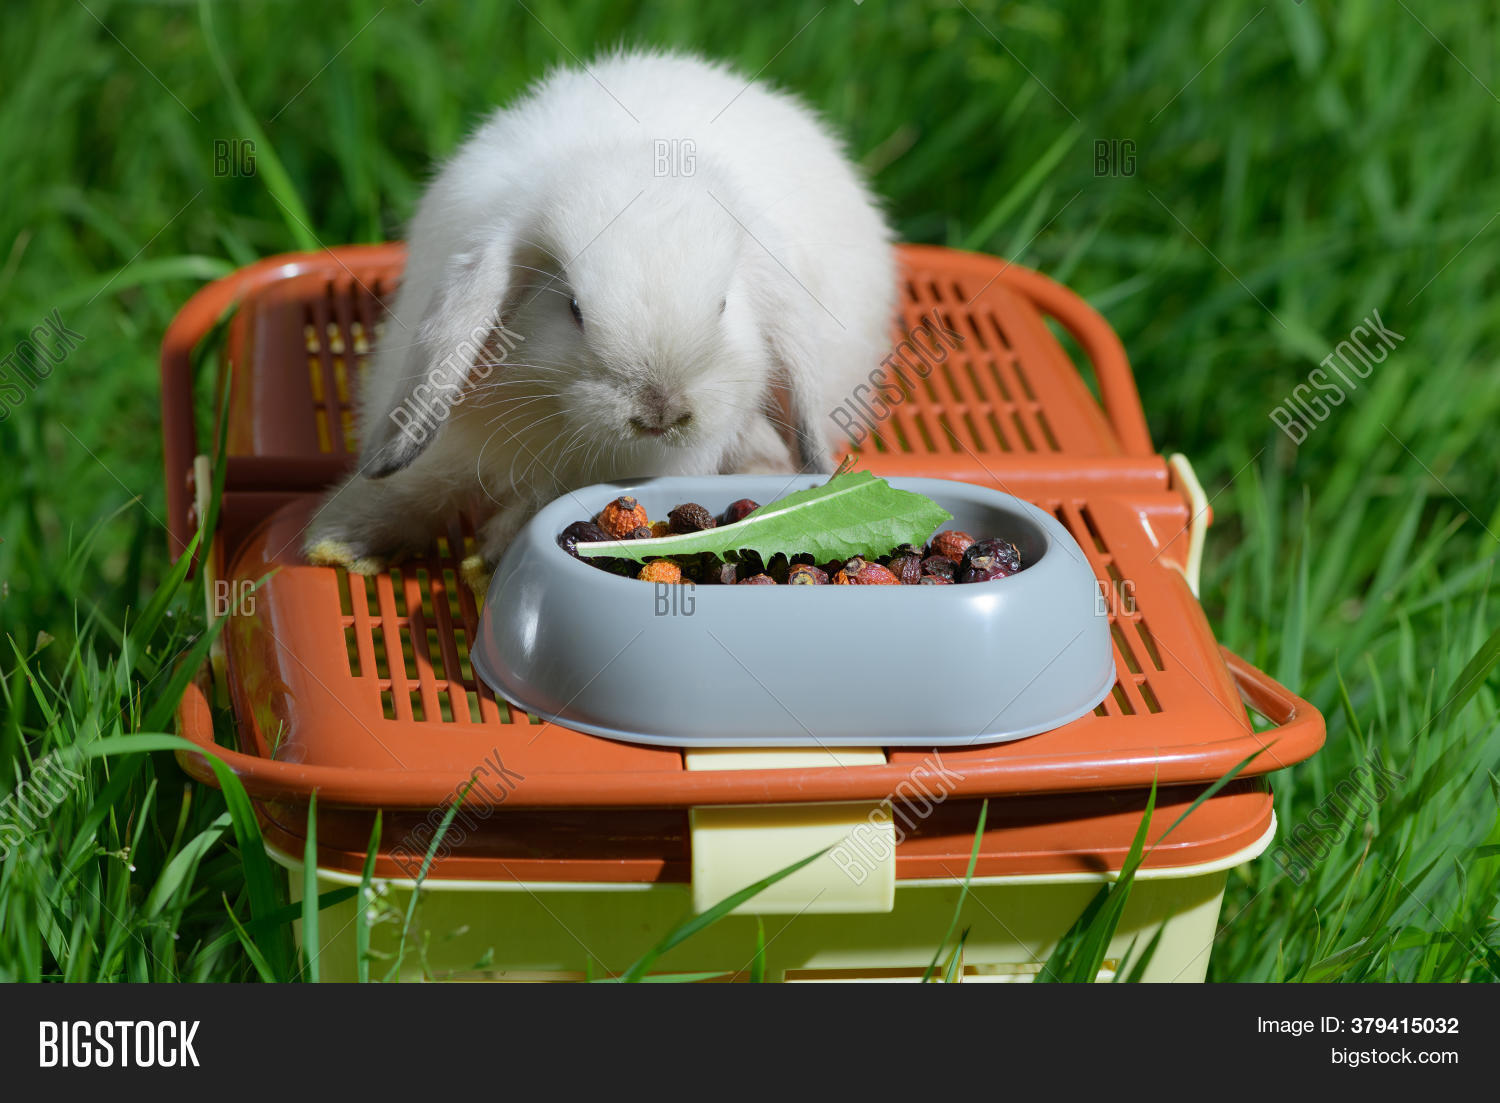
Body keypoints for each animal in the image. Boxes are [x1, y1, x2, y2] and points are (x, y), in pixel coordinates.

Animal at [304, 48, 896, 584]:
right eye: (573, 309)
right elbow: (412, 486)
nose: (660, 413)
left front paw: (494, 550)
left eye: (724, 306)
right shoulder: (447, 440)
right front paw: (335, 541)